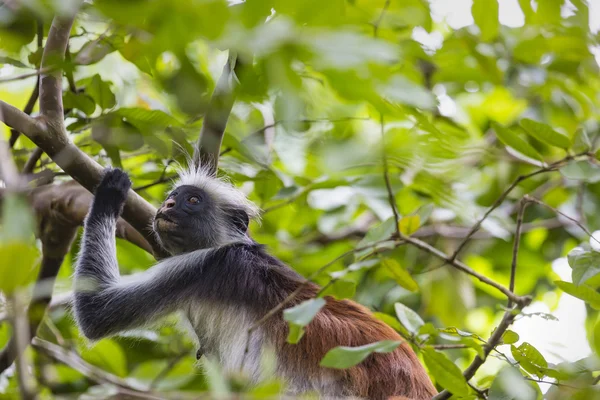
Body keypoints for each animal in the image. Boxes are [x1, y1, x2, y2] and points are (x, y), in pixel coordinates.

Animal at [74, 167, 436, 398]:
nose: (168, 204)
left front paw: (109, 192)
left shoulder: (204, 266)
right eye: (173, 197)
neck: (236, 247)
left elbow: (94, 313)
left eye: (192, 200)